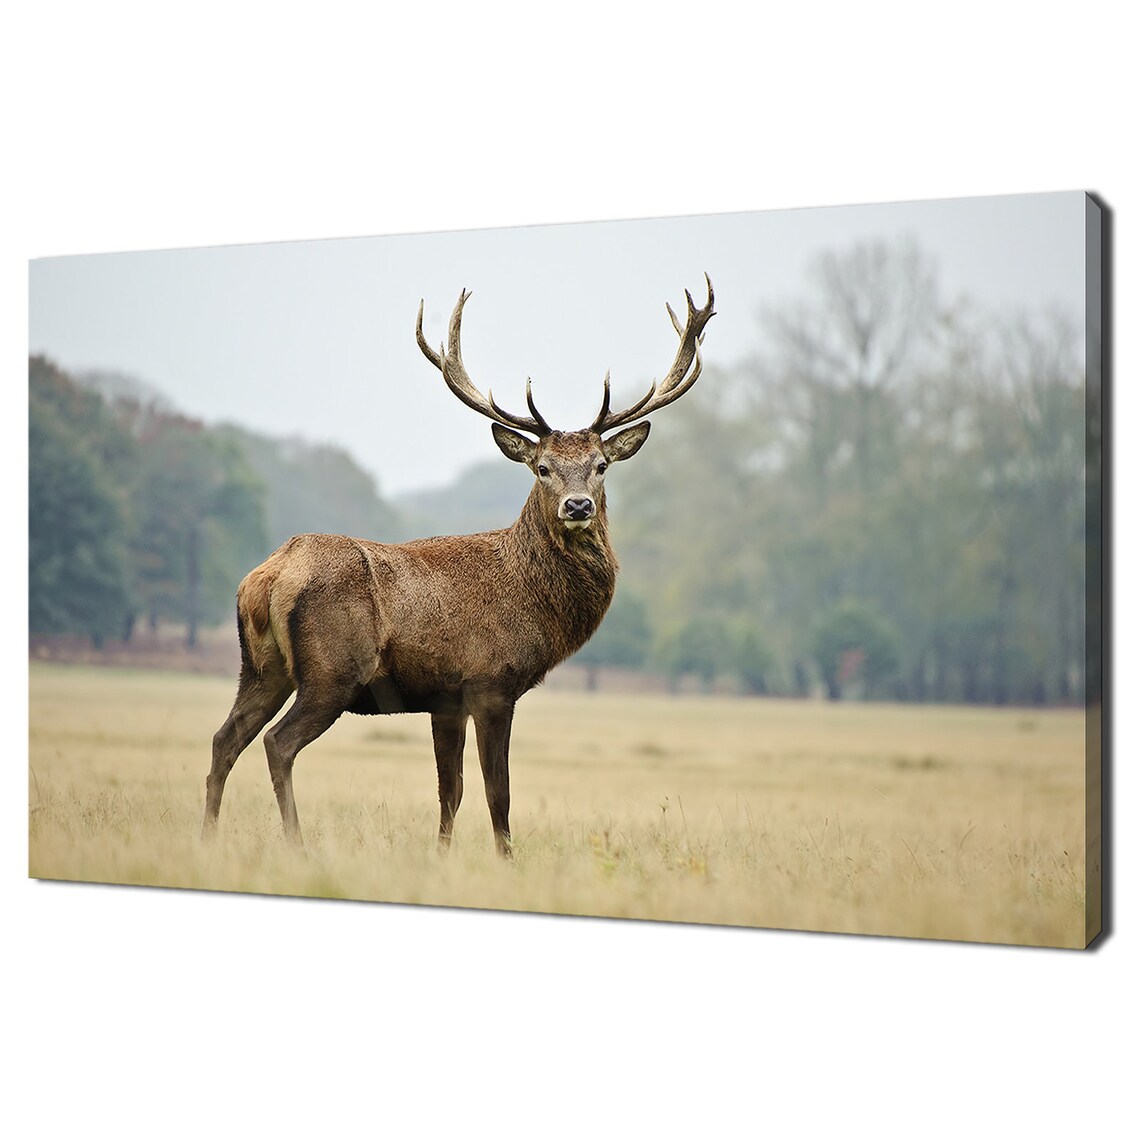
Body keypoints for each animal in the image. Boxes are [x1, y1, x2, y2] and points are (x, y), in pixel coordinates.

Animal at [201, 277, 715, 857]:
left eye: (601, 465)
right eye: (542, 468)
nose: (578, 505)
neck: (534, 602)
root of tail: (266, 577)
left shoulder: (445, 700)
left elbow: (451, 790)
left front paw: (441, 856)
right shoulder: (491, 682)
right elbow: (498, 792)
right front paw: (507, 859)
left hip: (262, 667)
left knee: (224, 738)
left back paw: (207, 838)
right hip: (332, 670)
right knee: (277, 743)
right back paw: (296, 844)